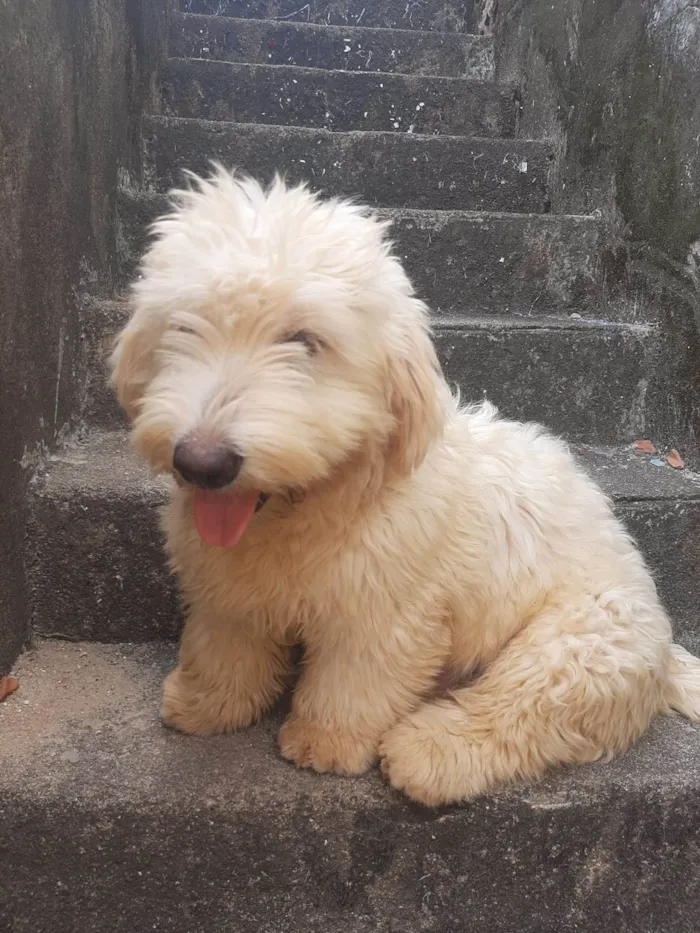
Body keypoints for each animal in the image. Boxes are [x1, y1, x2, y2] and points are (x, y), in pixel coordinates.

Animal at [109, 169, 700, 808]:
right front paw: (206, 703)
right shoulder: (227, 591)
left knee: (519, 709)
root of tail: (666, 652)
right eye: (183, 325)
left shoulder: (384, 609)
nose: (203, 462)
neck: (317, 504)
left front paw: (325, 740)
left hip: (580, 642)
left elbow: (355, 681)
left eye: (306, 340)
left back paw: (429, 751)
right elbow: (225, 645)